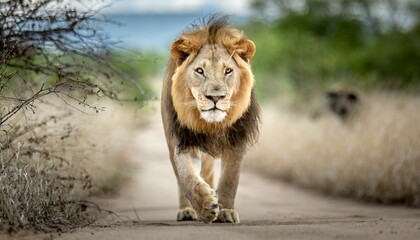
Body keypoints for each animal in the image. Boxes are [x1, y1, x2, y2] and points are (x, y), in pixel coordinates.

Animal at [161, 15, 260, 224]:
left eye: (228, 71)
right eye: (199, 71)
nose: (215, 98)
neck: (211, 125)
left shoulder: (237, 141)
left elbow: (230, 178)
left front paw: (227, 211)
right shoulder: (183, 141)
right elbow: (187, 176)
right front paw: (206, 206)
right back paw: (187, 211)